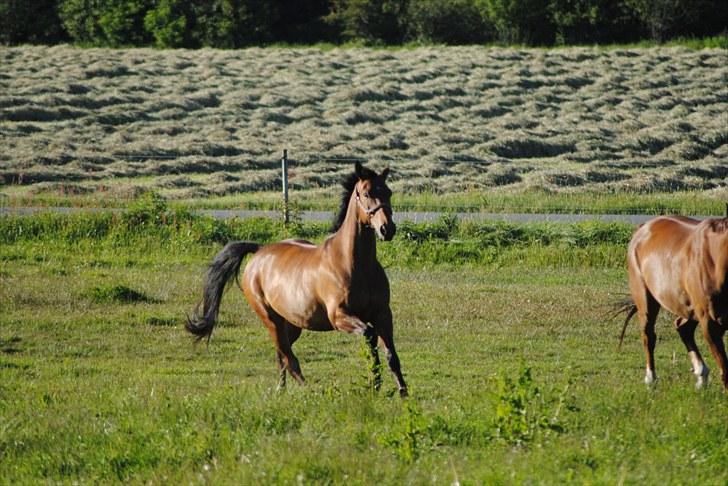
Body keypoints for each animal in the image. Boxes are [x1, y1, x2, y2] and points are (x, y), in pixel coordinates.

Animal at [185, 161, 406, 396]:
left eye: (388, 192)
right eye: (366, 193)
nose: (387, 229)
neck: (355, 264)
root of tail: (259, 251)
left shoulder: (383, 314)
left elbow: (392, 355)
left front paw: (403, 391)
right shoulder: (339, 316)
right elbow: (369, 335)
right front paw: (375, 383)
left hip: (292, 323)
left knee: (281, 354)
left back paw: (281, 389)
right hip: (271, 319)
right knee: (288, 357)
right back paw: (307, 390)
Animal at [620, 215, 728, 390]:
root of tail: (643, 227)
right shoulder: (709, 323)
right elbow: (725, 370)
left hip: (690, 309)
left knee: (683, 328)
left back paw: (701, 375)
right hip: (646, 300)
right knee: (648, 335)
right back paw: (651, 380)